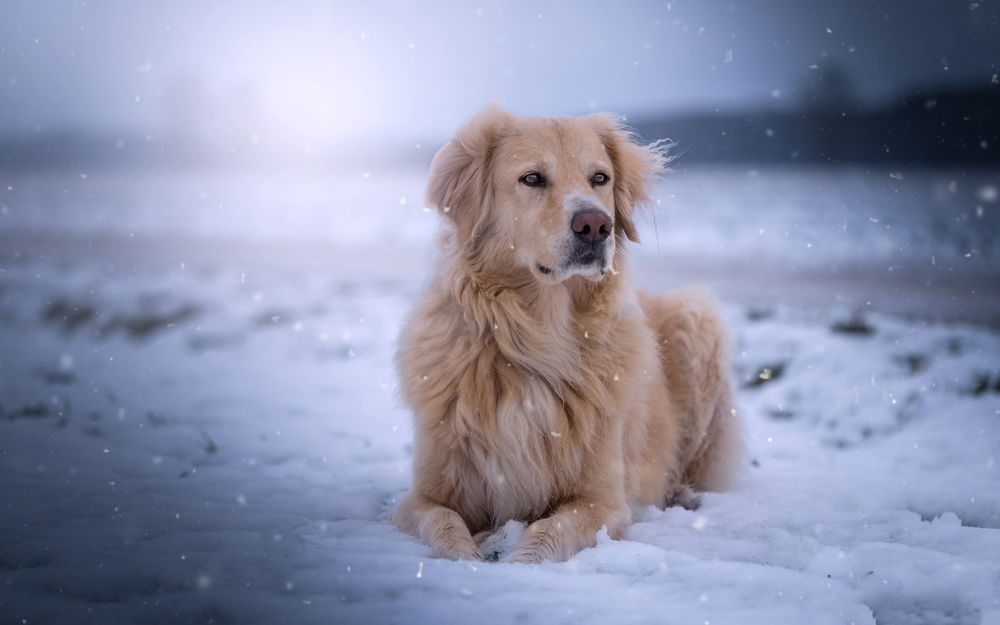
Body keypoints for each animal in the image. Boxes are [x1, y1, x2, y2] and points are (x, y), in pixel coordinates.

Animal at [392, 105, 744, 564]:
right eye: (532, 178)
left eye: (600, 178)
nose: (596, 224)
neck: (535, 336)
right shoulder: (422, 496)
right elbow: (445, 525)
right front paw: (470, 558)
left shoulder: (602, 501)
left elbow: (545, 534)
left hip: (698, 319)